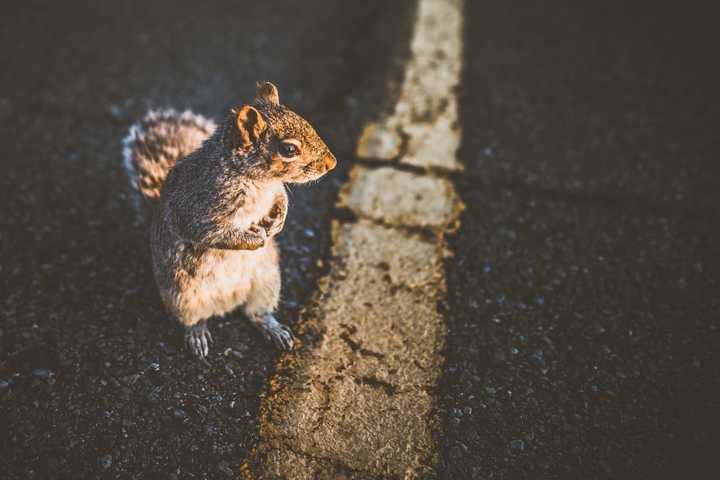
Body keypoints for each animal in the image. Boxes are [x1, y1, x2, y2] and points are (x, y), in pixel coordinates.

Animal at [122, 83, 336, 360]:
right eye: (289, 149)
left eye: (306, 122)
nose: (332, 163)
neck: (257, 180)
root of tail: (227, 303)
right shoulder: (196, 209)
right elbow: (212, 233)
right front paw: (254, 239)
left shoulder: (275, 190)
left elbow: (281, 200)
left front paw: (277, 222)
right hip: (183, 297)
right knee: (194, 320)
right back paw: (197, 335)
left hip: (267, 282)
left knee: (256, 313)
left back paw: (273, 328)